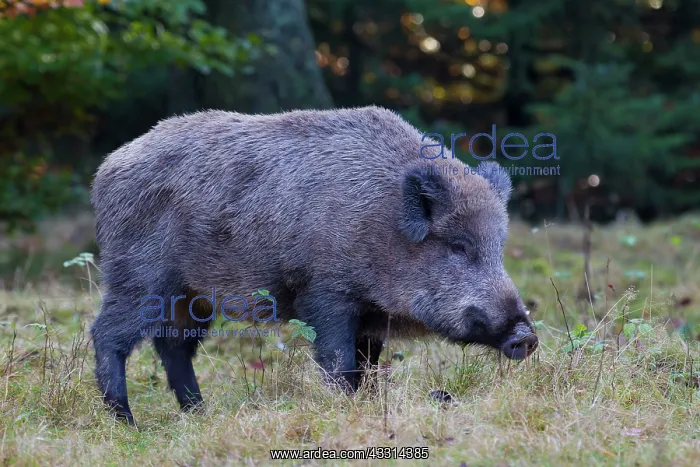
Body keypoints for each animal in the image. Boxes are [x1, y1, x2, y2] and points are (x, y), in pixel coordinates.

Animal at [90, 106, 538, 425]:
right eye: (459, 246)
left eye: (499, 246)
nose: (527, 336)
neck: (382, 225)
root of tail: (107, 169)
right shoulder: (326, 293)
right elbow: (338, 360)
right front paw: (348, 406)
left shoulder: (371, 316)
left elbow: (367, 363)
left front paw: (367, 404)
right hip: (141, 276)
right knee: (108, 333)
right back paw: (126, 421)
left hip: (192, 295)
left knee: (174, 345)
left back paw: (200, 415)